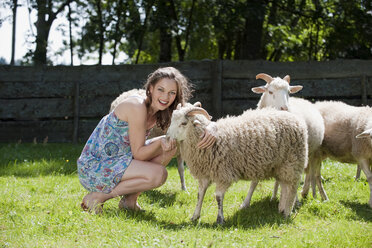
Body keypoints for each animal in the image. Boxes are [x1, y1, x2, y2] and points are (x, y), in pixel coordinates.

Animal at [166, 101, 308, 224]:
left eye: (184, 123)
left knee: (292, 187)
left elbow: (218, 197)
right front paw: (195, 216)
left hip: (292, 161)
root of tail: (297, 120)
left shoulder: (223, 175)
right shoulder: (205, 174)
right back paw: (281, 209)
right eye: (172, 120)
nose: (167, 138)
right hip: (281, 165)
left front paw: (220, 219)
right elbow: (199, 195)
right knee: (284, 185)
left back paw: (287, 213)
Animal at [248, 71, 326, 203]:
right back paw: (275, 196)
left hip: (311, 151)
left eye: (289, 92)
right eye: (270, 92)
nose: (285, 108)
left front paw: (295, 201)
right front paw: (245, 203)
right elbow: (254, 182)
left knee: (310, 173)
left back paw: (308, 192)